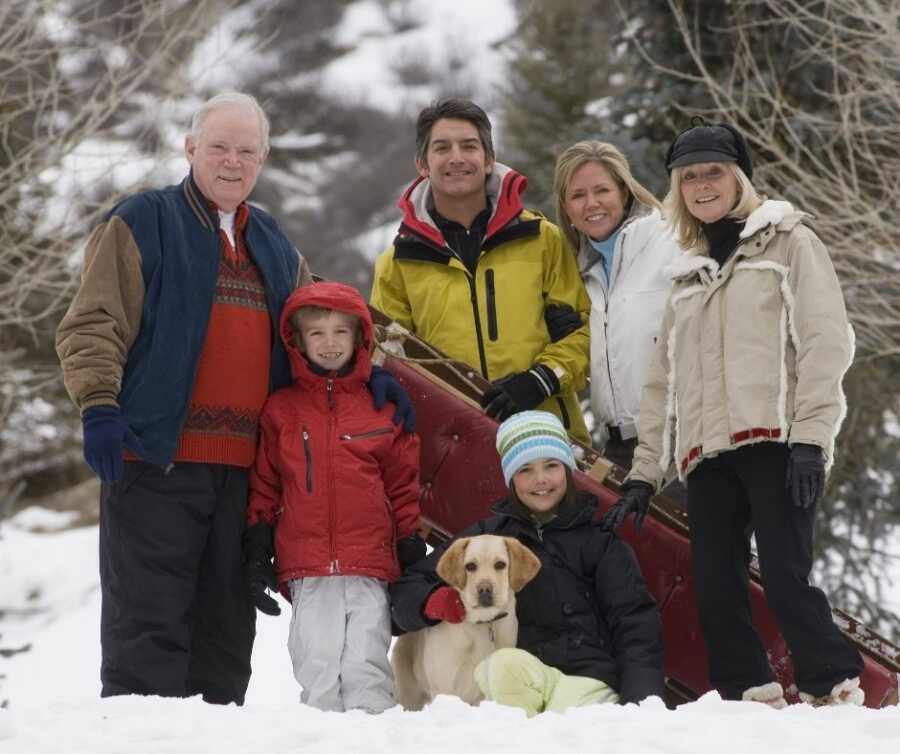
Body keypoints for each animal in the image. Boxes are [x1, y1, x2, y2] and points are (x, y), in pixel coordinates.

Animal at [390, 532, 536, 708]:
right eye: (470, 566)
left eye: (500, 564)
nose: (484, 589)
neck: (483, 624)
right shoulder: (444, 687)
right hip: (408, 695)